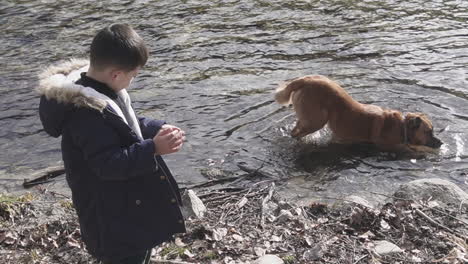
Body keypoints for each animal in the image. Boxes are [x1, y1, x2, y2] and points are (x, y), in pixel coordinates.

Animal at [276, 75, 444, 150]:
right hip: (317, 120)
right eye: (428, 132)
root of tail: (305, 79)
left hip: (310, 118)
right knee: (296, 133)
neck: (402, 127)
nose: (441, 142)